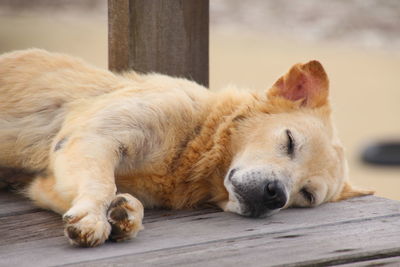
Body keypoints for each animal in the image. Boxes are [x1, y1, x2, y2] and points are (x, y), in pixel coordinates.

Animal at [0, 48, 372, 247]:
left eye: (306, 195)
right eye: (290, 141)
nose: (274, 195)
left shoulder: (48, 182)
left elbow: (111, 196)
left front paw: (125, 215)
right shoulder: (92, 135)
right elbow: (101, 184)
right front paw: (94, 218)